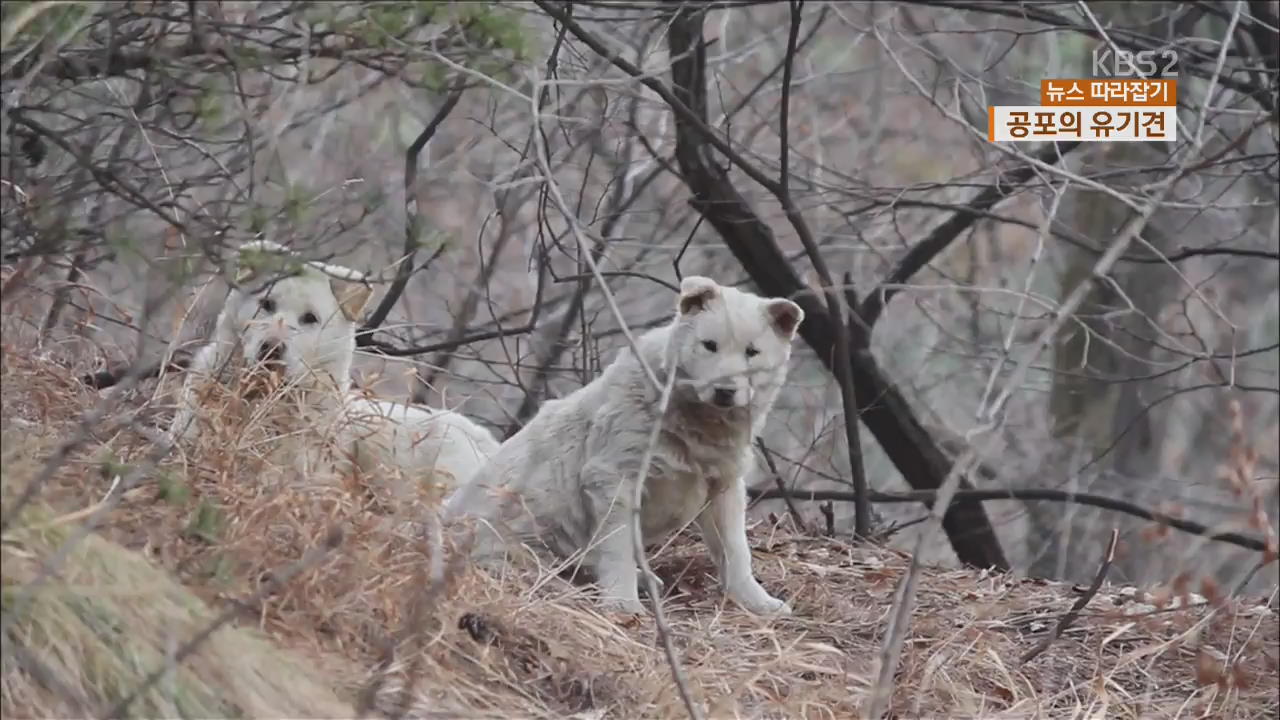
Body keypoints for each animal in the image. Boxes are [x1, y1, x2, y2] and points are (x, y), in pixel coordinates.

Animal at [440, 272, 798, 609]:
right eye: (709, 345)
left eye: (752, 352)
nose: (725, 391)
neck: (696, 420)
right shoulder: (614, 477)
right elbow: (619, 546)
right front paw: (623, 604)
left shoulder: (723, 485)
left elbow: (735, 549)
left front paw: (759, 602)